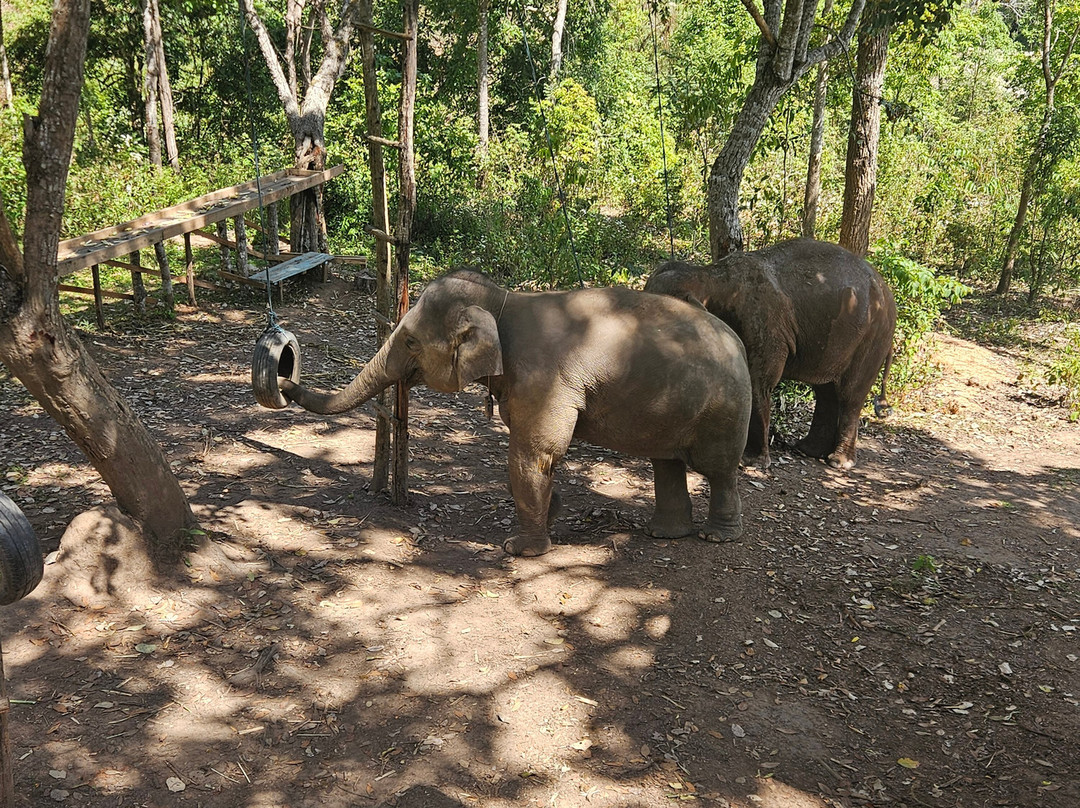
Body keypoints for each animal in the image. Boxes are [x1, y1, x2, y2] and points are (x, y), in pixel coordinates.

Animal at [274, 268, 752, 557]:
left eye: (410, 341)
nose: (283, 378)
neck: (502, 301)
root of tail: (738, 341)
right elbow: (536, 459)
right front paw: (552, 513)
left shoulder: (545, 380)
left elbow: (534, 453)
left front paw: (519, 548)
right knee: (666, 462)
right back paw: (664, 533)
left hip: (723, 410)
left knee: (717, 468)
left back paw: (717, 535)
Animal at [644, 238, 896, 470]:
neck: (708, 275)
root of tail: (889, 295)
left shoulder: (763, 323)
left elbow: (759, 381)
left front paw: (752, 462)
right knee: (826, 393)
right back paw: (807, 449)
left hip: (872, 338)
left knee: (849, 395)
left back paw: (838, 462)